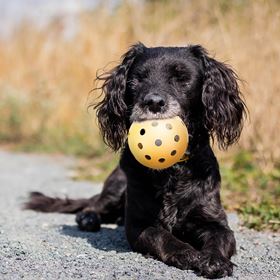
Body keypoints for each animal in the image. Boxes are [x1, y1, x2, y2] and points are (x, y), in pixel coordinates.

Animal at [25, 42, 245, 278]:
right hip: (117, 184)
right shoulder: (139, 225)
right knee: (94, 205)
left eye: (182, 78)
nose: (154, 102)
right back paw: (89, 218)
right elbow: (163, 237)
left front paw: (214, 261)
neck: (171, 170)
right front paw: (187, 254)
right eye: (137, 79)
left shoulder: (214, 220)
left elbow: (220, 238)